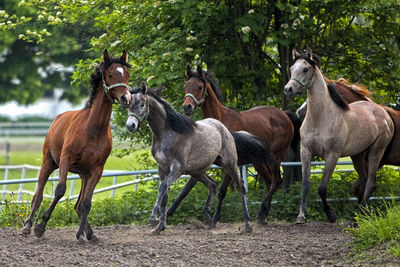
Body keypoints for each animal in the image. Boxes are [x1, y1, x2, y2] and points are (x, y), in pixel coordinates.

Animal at [21, 49, 132, 243]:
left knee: (79, 205)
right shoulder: (65, 160)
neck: (93, 129)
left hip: (83, 174)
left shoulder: (96, 170)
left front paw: (81, 235)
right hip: (48, 162)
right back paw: (27, 226)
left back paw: (90, 234)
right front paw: (40, 227)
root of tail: (57, 119)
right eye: (110, 74)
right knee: (38, 195)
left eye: (126, 74)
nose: (126, 98)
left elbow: (87, 203)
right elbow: (60, 191)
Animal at [166, 65, 300, 226]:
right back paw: (263, 215)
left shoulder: (230, 163)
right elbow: (187, 187)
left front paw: (216, 217)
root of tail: (284, 114)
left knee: (276, 182)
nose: (187, 107)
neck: (218, 124)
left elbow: (222, 190)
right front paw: (167, 213)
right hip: (258, 161)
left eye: (199, 87)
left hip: (275, 157)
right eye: (186, 86)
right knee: (269, 181)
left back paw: (261, 212)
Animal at [284, 49, 394, 225]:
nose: (288, 89)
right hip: (358, 155)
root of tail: (384, 112)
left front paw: (331, 216)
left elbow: (322, 188)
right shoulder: (306, 152)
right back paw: (359, 215)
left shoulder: (332, 156)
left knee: (370, 183)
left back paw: (358, 217)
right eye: (292, 67)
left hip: (376, 152)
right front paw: (301, 217)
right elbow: (305, 184)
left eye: (305, 69)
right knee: (364, 181)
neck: (320, 119)